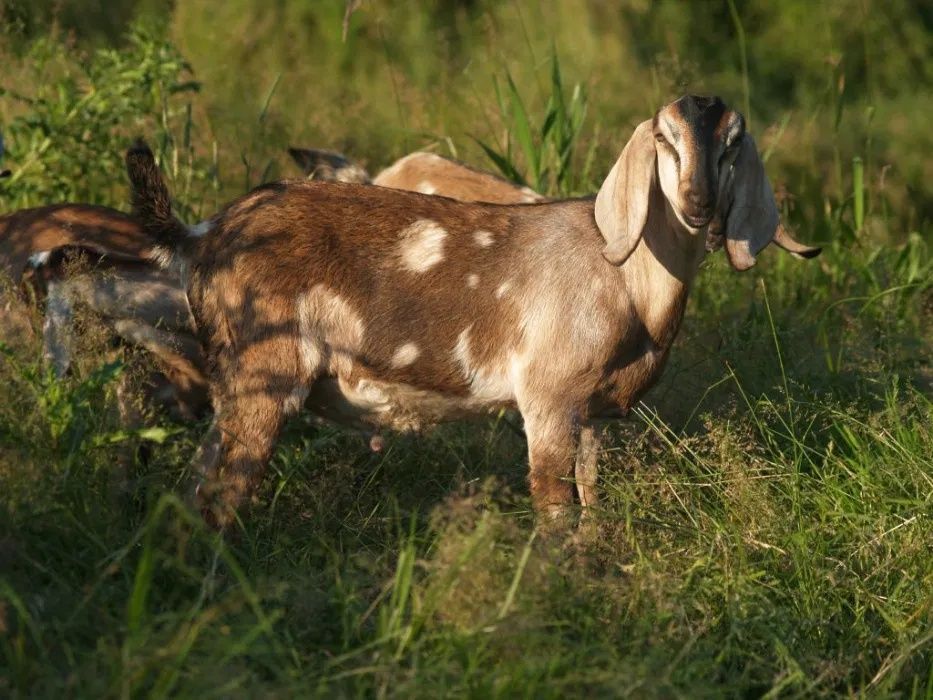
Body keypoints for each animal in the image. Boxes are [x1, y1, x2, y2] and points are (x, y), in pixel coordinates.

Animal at [127, 94, 820, 532]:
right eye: (663, 139)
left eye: (733, 144)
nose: (699, 204)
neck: (624, 279)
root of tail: (202, 234)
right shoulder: (548, 397)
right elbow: (554, 505)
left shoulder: (592, 413)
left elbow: (592, 501)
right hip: (262, 378)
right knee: (217, 495)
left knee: (192, 491)